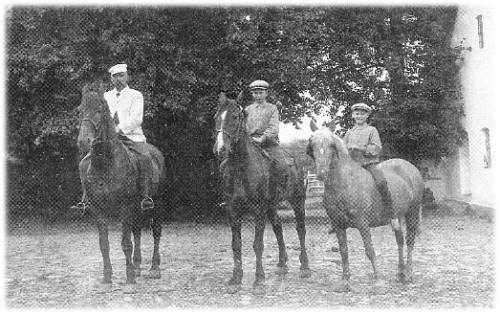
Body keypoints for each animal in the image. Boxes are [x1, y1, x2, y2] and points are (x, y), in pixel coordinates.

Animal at [77, 88, 165, 284]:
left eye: (99, 111)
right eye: (80, 110)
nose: (84, 141)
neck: (105, 164)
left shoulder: (125, 207)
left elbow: (125, 243)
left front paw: (129, 276)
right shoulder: (98, 210)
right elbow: (104, 245)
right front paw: (107, 276)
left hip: (157, 204)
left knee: (156, 232)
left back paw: (154, 268)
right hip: (137, 208)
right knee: (137, 231)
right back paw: (138, 266)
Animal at [216, 91, 312, 290]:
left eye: (235, 116)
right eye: (216, 117)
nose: (220, 149)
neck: (241, 169)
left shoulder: (259, 210)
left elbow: (257, 244)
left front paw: (259, 278)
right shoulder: (232, 210)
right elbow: (236, 244)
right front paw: (236, 278)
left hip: (298, 201)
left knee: (301, 230)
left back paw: (305, 266)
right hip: (272, 206)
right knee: (278, 227)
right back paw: (282, 263)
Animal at [306, 123, 424, 292]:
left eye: (331, 144)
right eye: (312, 143)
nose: (321, 174)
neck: (344, 183)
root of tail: (410, 167)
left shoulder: (362, 224)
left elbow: (369, 251)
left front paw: (378, 279)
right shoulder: (338, 225)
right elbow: (344, 252)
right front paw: (345, 281)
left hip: (412, 213)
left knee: (410, 242)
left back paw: (409, 273)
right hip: (397, 217)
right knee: (400, 241)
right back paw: (401, 273)